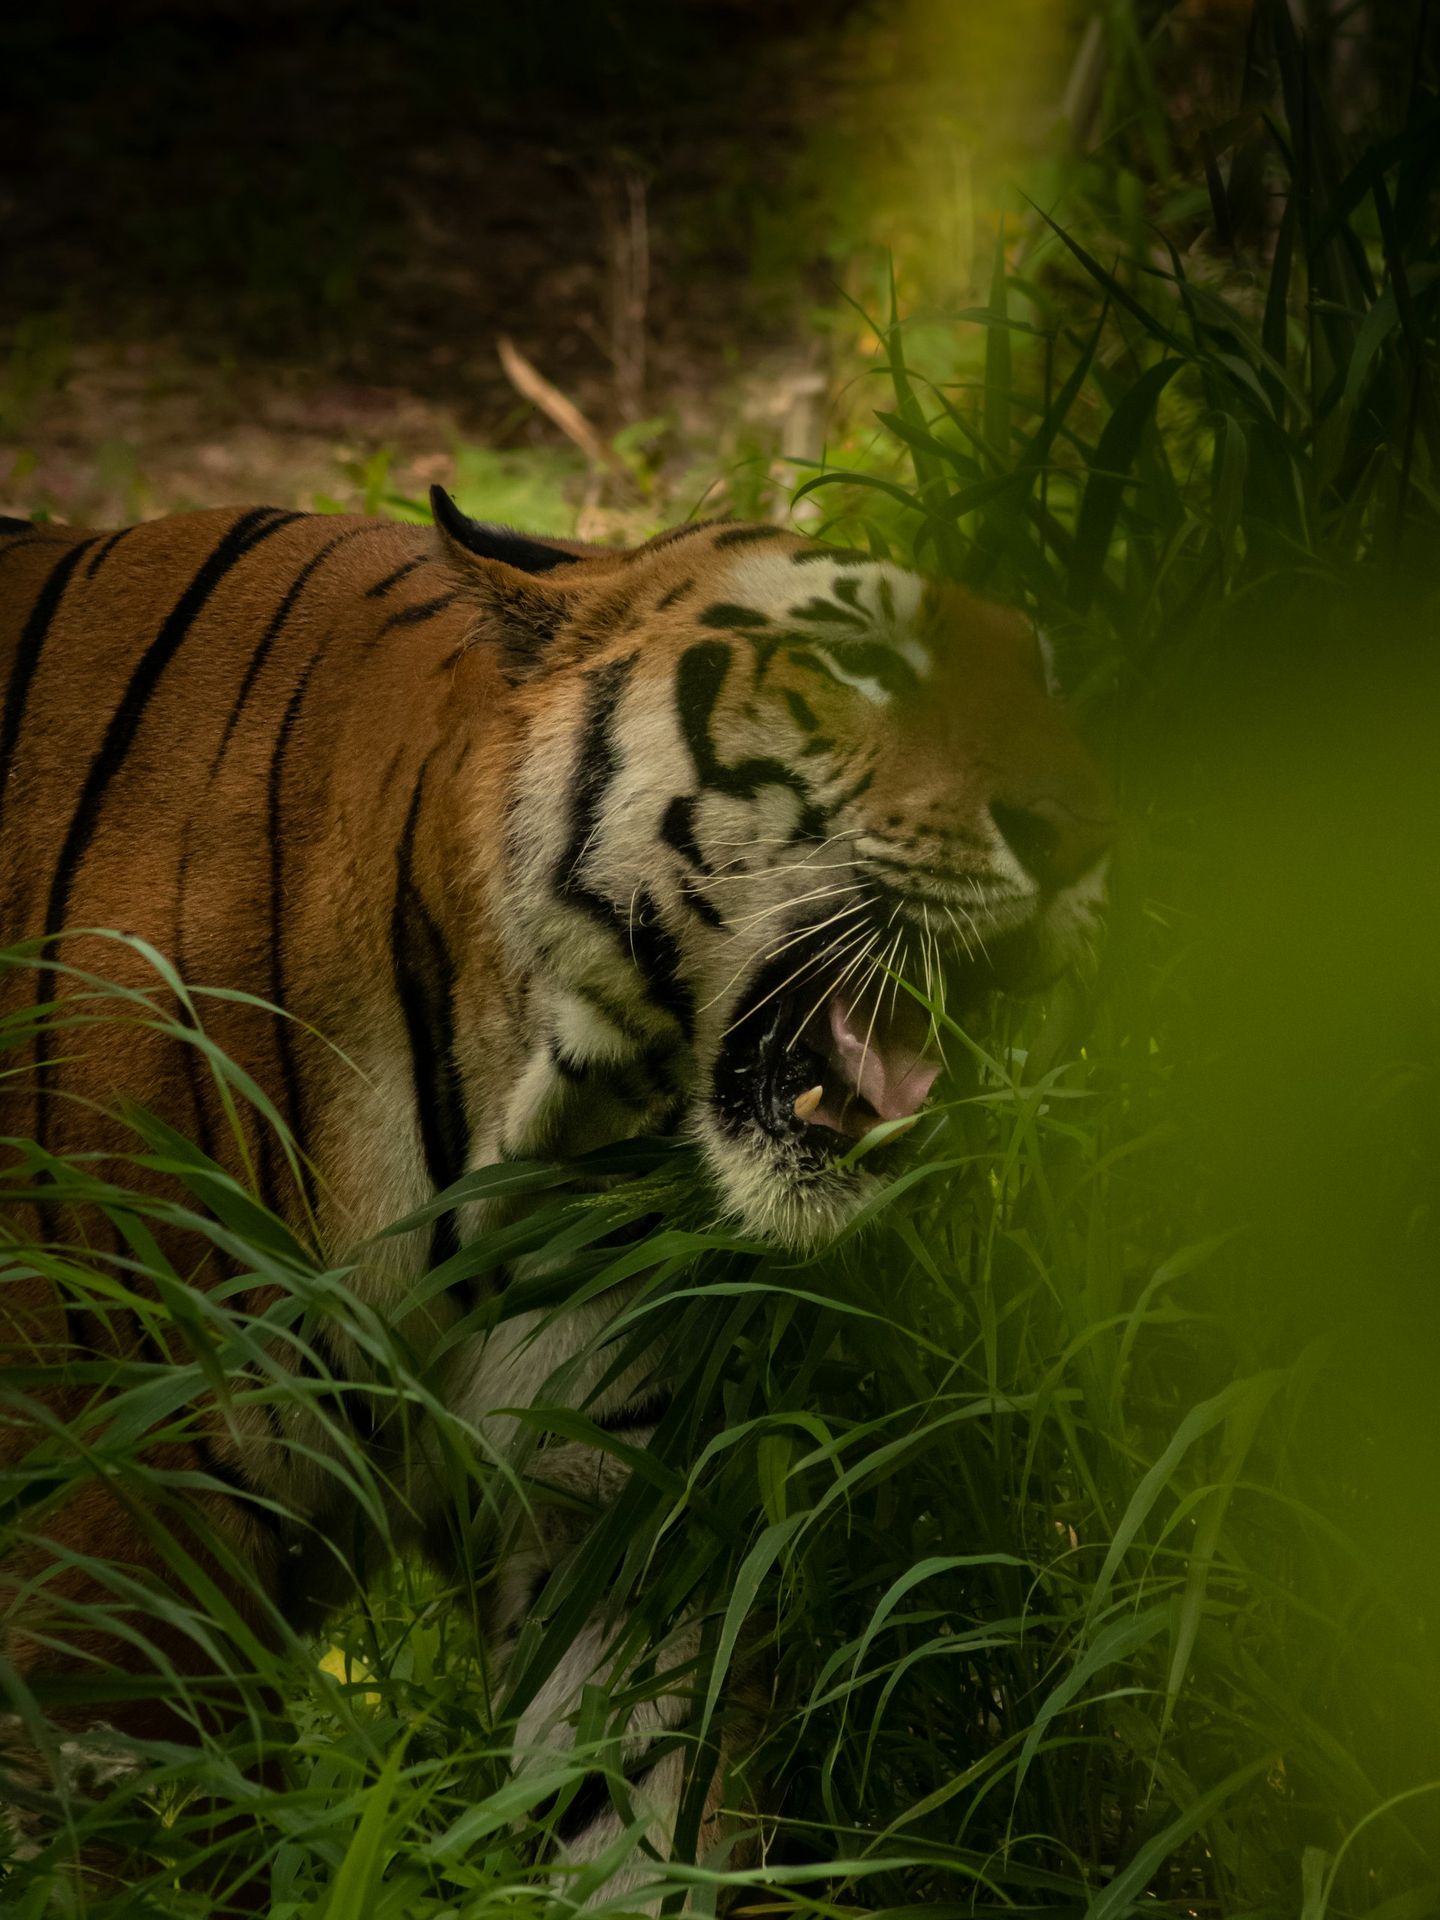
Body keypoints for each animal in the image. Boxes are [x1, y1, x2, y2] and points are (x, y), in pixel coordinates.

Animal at [0, 489, 1112, 1898]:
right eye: (861, 656)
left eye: (1047, 681)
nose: (1086, 835)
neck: (537, 1107)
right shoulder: (126, 1576)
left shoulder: (605, 1524)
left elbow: (643, 1831)